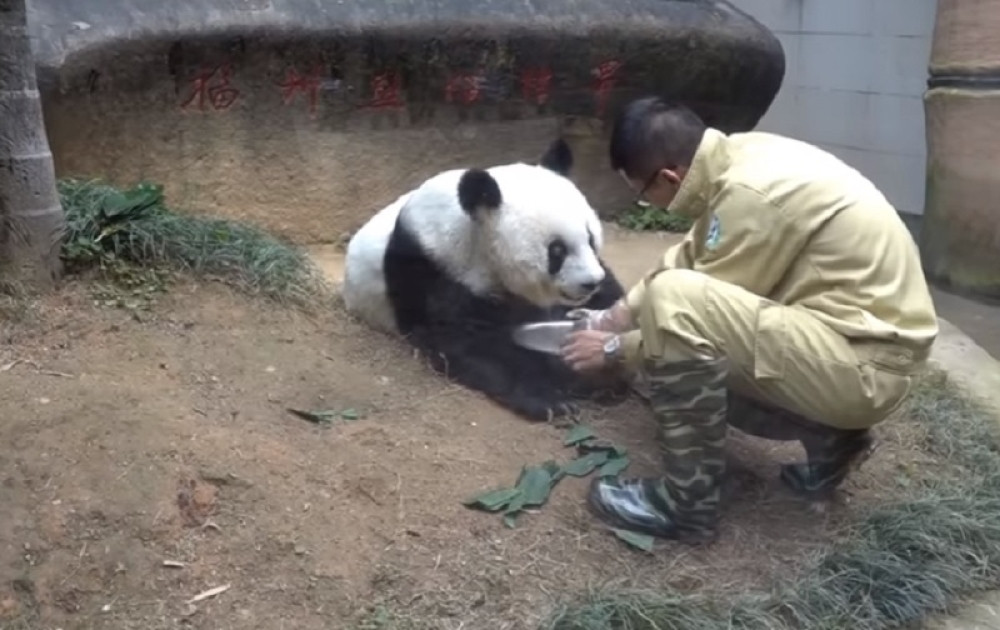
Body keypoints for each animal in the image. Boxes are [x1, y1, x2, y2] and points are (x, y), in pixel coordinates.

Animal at [342, 138, 626, 422]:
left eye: (591, 238)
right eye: (556, 250)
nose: (590, 282)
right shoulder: (435, 268)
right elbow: (470, 342)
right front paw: (551, 401)